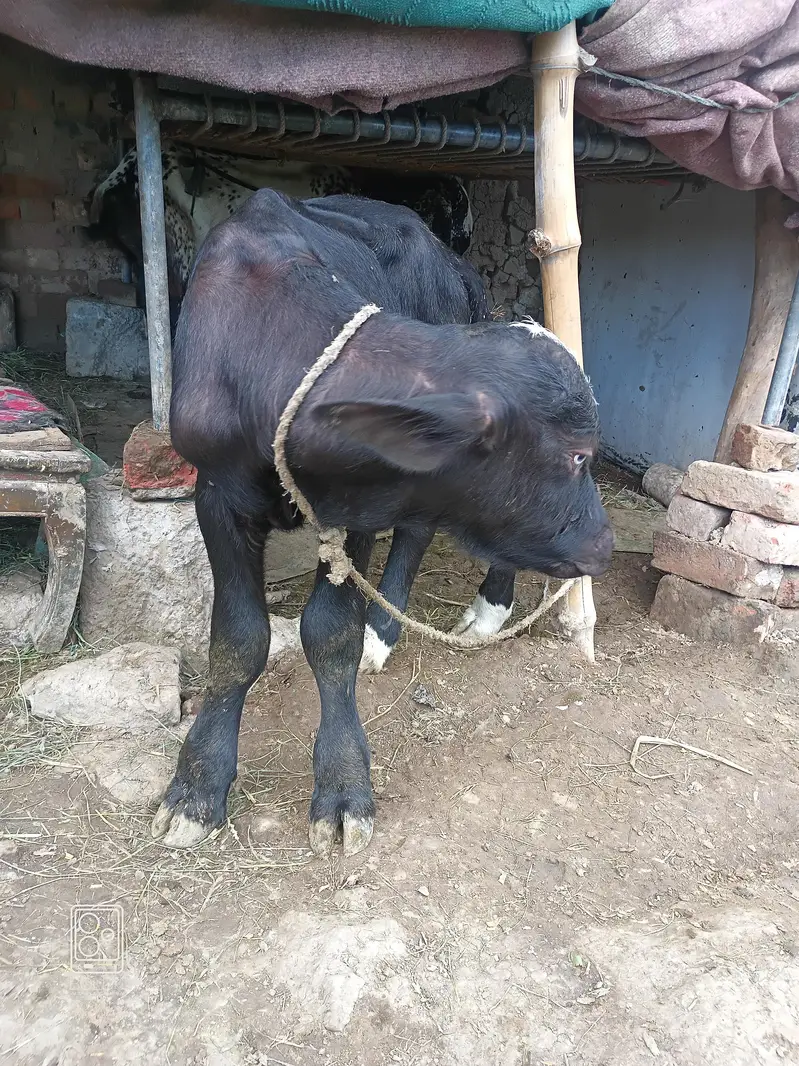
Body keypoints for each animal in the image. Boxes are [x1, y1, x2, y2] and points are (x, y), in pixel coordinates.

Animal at [152, 189, 613, 858]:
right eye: (578, 454)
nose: (605, 542)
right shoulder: (215, 495)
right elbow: (238, 638)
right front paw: (196, 786)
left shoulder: (357, 509)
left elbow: (330, 634)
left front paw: (343, 789)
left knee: (420, 538)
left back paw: (460, 615)